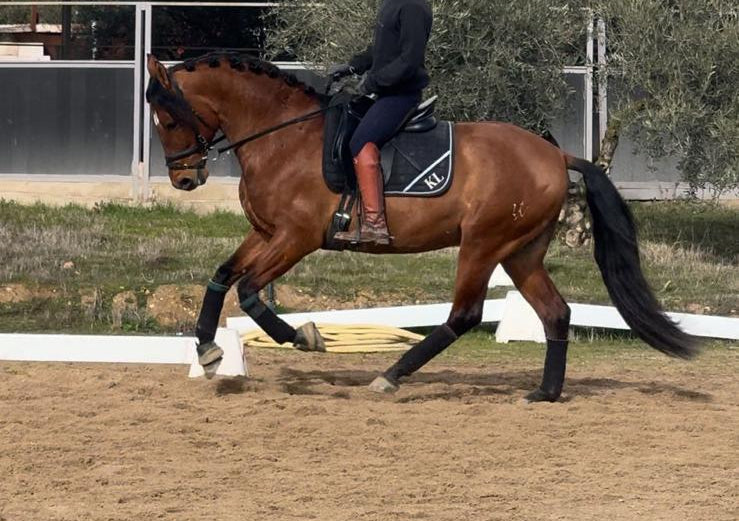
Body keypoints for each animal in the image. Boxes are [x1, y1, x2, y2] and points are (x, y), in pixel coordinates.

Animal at [145, 52, 697, 402]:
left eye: (167, 120)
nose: (185, 179)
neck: (282, 139)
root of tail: (556, 154)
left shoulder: (295, 239)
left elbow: (251, 292)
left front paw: (304, 336)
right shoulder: (265, 233)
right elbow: (222, 277)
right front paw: (209, 350)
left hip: (483, 244)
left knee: (465, 315)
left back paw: (390, 377)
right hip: (520, 252)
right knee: (555, 313)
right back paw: (544, 393)